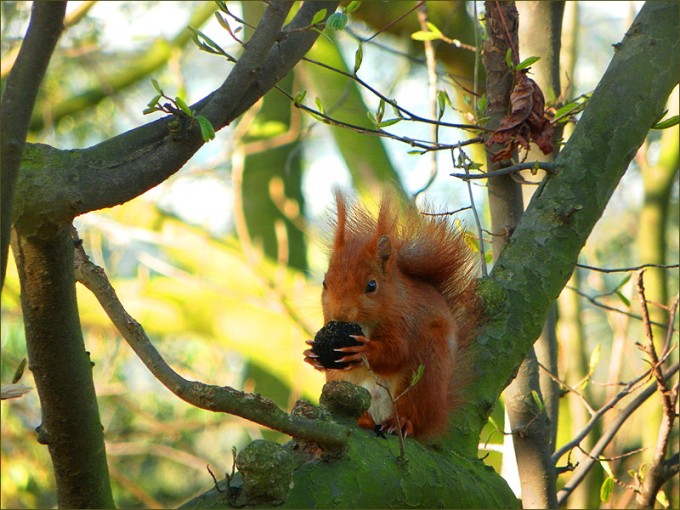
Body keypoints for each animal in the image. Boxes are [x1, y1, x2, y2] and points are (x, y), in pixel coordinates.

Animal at [304, 192, 480, 440]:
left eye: (371, 285)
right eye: (324, 283)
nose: (340, 313)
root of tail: (439, 415)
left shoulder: (404, 319)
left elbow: (396, 352)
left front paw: (364, 351)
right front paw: (311, 354)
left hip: (423, 376)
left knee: (413, 413)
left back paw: (402, 423)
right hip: (344, 383)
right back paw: (363, 420)